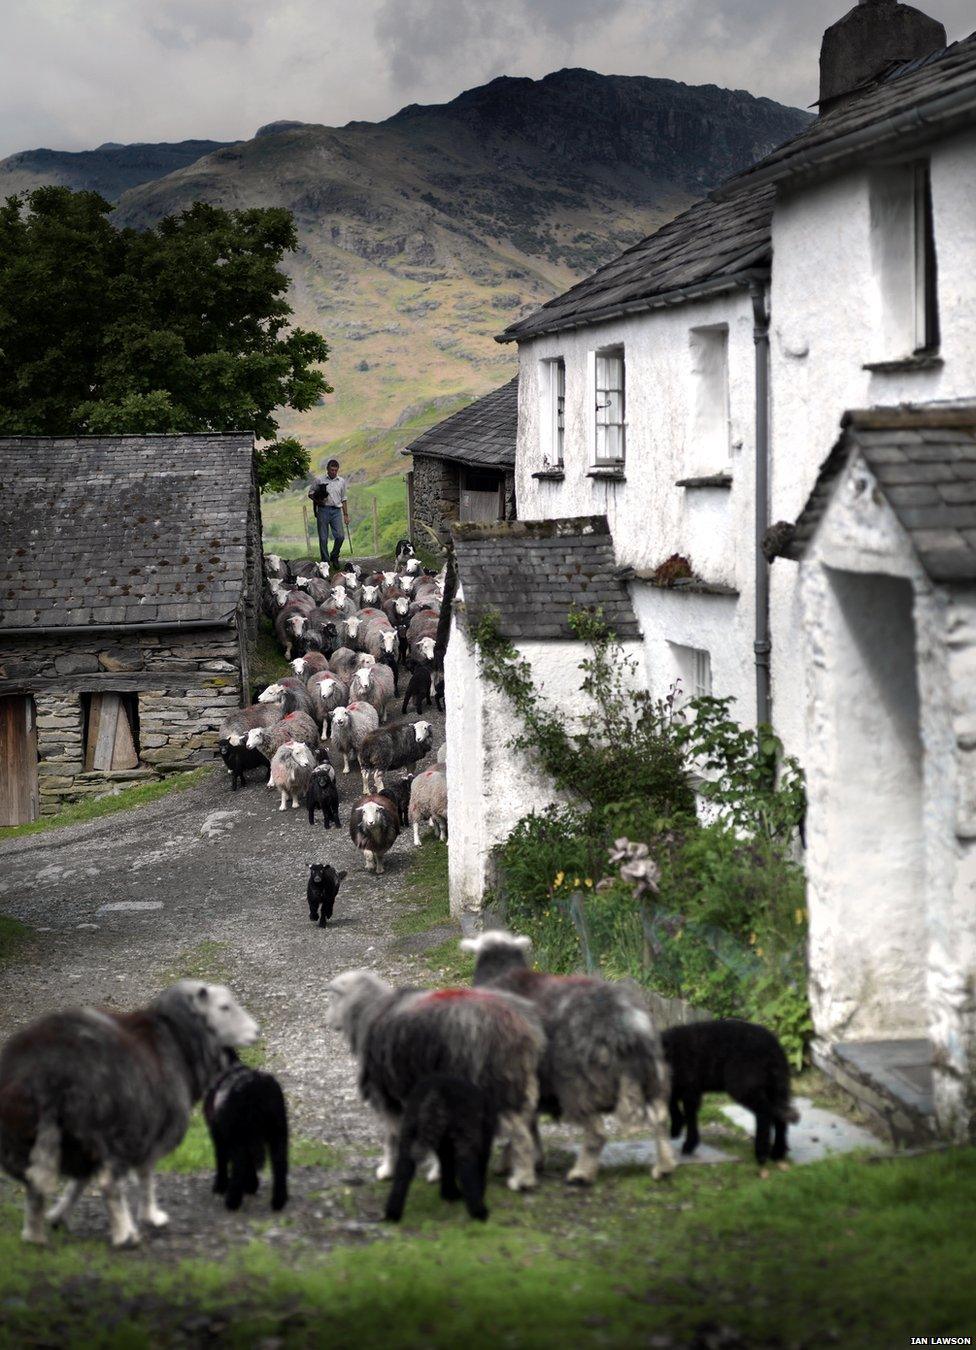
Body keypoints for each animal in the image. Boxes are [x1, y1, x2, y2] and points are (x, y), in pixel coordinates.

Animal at [201, 1047, 286, 1209]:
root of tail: (255, 1089)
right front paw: (251, 1185)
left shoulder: (218, 1132)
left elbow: (221, 1159)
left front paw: (220, 1186)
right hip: (277, 1130)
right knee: (279, 1164)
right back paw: (278, 1201)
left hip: (238, 1134)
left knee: (239, 1163)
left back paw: (232, 1201)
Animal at [326, 972, 542, 1193]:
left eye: (333, 999)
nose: (327, 1020)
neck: (369, 1012)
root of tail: (519, 1027)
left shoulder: (386, 1094)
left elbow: (391, 1135)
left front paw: (387, 1170)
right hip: (514, 1081)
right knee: (524, 1124)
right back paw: (514, 1169)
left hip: (491, 1083)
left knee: (520, 1132)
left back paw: (522, 1179)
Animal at [386, 1074, 499, 1225]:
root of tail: (436, 1092)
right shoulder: (483, 1140)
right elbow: (478, 1168)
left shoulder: (444, 1145)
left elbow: (447, 1166)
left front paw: (449, 1194)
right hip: (466, 1135)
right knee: (467, 1170)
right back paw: (479, 1212)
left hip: (409, 1132)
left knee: (403, 1170)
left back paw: (392, 1214)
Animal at [458, 934, 674, 1188]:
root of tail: (623, 1024)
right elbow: (530, 1125)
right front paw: (534, 1159)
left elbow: (519, 1128)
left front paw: (511, 1164)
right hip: (652, 1074)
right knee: (660, 1119)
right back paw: (664, 1166)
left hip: (578, 1084)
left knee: (597, 1133)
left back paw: (581, 1174)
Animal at [656, 1015, 799, 1166]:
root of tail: (774, 1046)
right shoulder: (682, 1086)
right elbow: (673, 1103)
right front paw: (676, 1128)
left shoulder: (689, 1086)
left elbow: (689, 1113)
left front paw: (688, 1143)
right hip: (774, 1085)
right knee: (779, 1115)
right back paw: (777, 1153)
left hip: (744, 1083)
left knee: (765, 1111)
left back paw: (761, 1154)